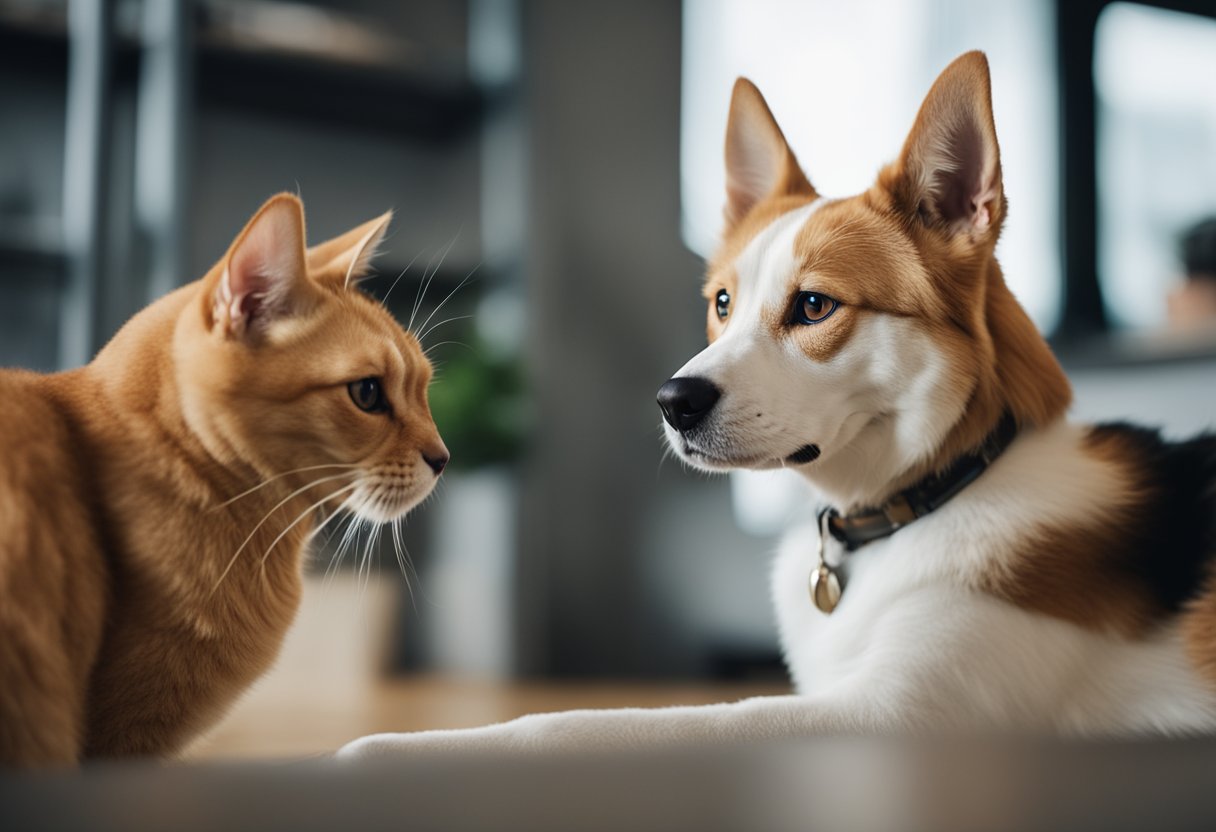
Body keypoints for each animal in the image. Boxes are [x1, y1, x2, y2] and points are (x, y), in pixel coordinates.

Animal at [340, 50, 1216, 754]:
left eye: (815, 306)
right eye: (722, 304)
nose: (670, 400)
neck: (934, 492)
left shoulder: (905, 712)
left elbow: (605, 722)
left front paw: (397, 752)